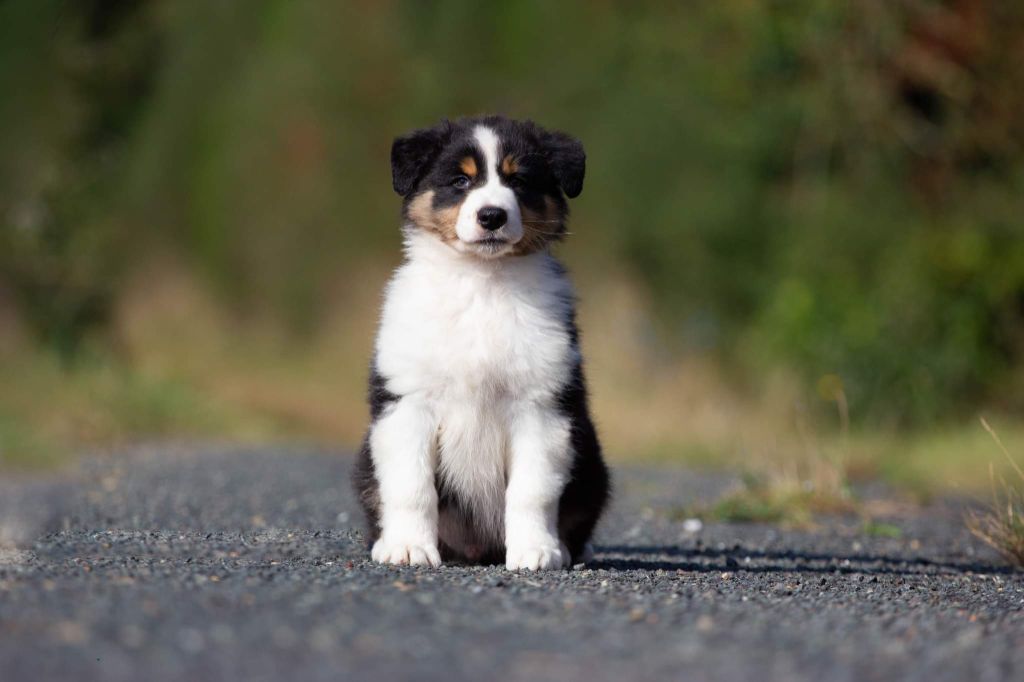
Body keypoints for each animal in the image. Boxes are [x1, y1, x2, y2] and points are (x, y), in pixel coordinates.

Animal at [354, 116, 606, 569]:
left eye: (519, 180)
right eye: (460, 180)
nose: (492, 216)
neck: (482, 281)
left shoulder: (540, 406)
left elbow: (532, 489)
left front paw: (535, 551)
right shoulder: (409, 402)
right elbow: (410, 485)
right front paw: (408, 547)